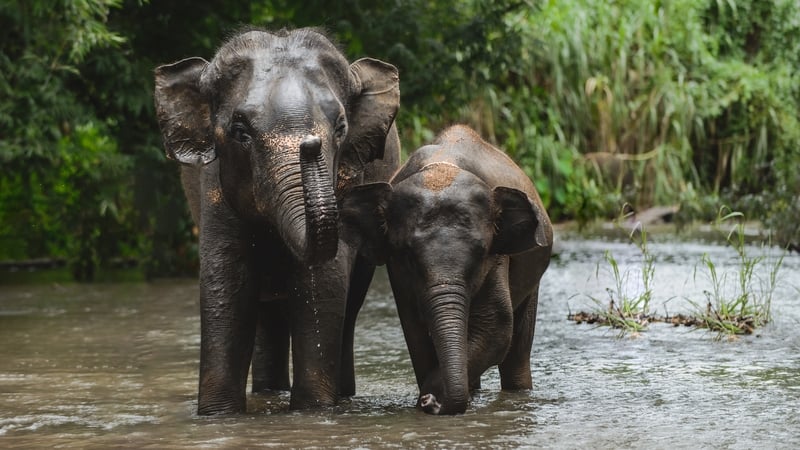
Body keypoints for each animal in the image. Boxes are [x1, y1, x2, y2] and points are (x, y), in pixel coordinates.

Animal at [153, 28, 400, 415]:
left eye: (341, 128)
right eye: (240, 131)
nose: (310, 145)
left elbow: (322, 284)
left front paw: (313, 410)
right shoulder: (213, 189)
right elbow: (226, 284)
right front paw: (218, 415)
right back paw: (269, 391)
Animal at [342, 125, 553, 415]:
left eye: (481, 252)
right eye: (407, 254)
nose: (430, 402)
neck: (442, 166)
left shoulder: (499, 258)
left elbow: (496, 325)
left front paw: (432, 398)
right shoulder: (398, 275)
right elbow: (415, 331)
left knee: (517, 350)